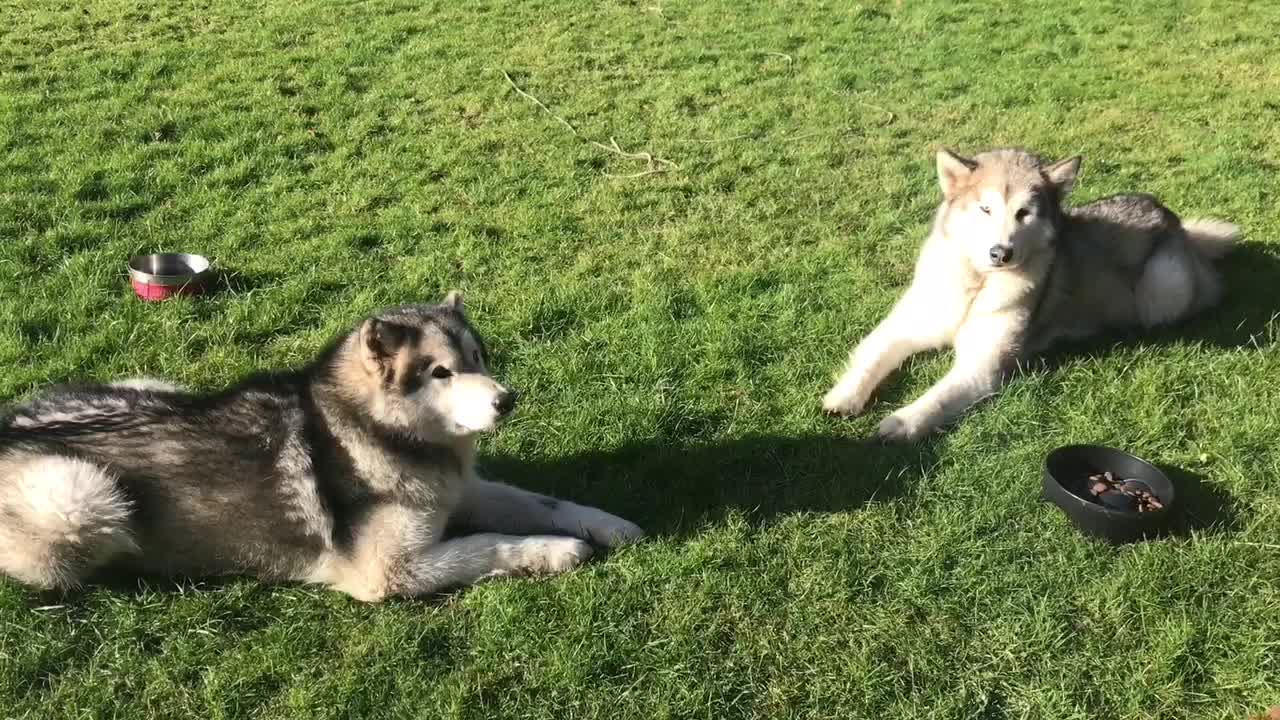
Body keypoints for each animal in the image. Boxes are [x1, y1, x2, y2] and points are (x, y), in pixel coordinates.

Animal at [0, 292, 640, 599]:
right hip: (83, 496)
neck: (379, 430)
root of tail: (9, 428)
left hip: (154, 388)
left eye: (479, 359)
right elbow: (486, 545)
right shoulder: (387, 573)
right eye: (440, 373)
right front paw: (556, 551)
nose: (507, 400)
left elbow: (542, 501)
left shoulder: (463, 492)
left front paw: (608, 523)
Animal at [824, 149, 1233, 443]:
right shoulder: (905, 326)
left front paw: (902, 421)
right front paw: (844, 396)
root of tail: (1174, 221)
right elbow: (872, 358)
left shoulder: (982, 367)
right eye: (985, 208)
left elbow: (937, 396)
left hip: (1163, 288)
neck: (978, 282)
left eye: (1024, 213)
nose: (1000, 253)